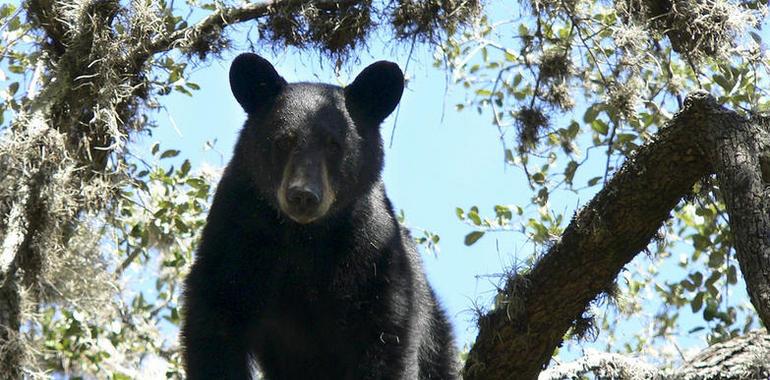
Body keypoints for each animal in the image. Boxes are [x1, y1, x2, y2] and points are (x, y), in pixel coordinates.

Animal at [180, 54, 456, 380]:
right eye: (284, 141)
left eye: (334, 144)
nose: (303, 195)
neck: (304, 237)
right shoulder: (237, 231)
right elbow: (215, 322)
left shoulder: (373, 249)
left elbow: (385, 334)